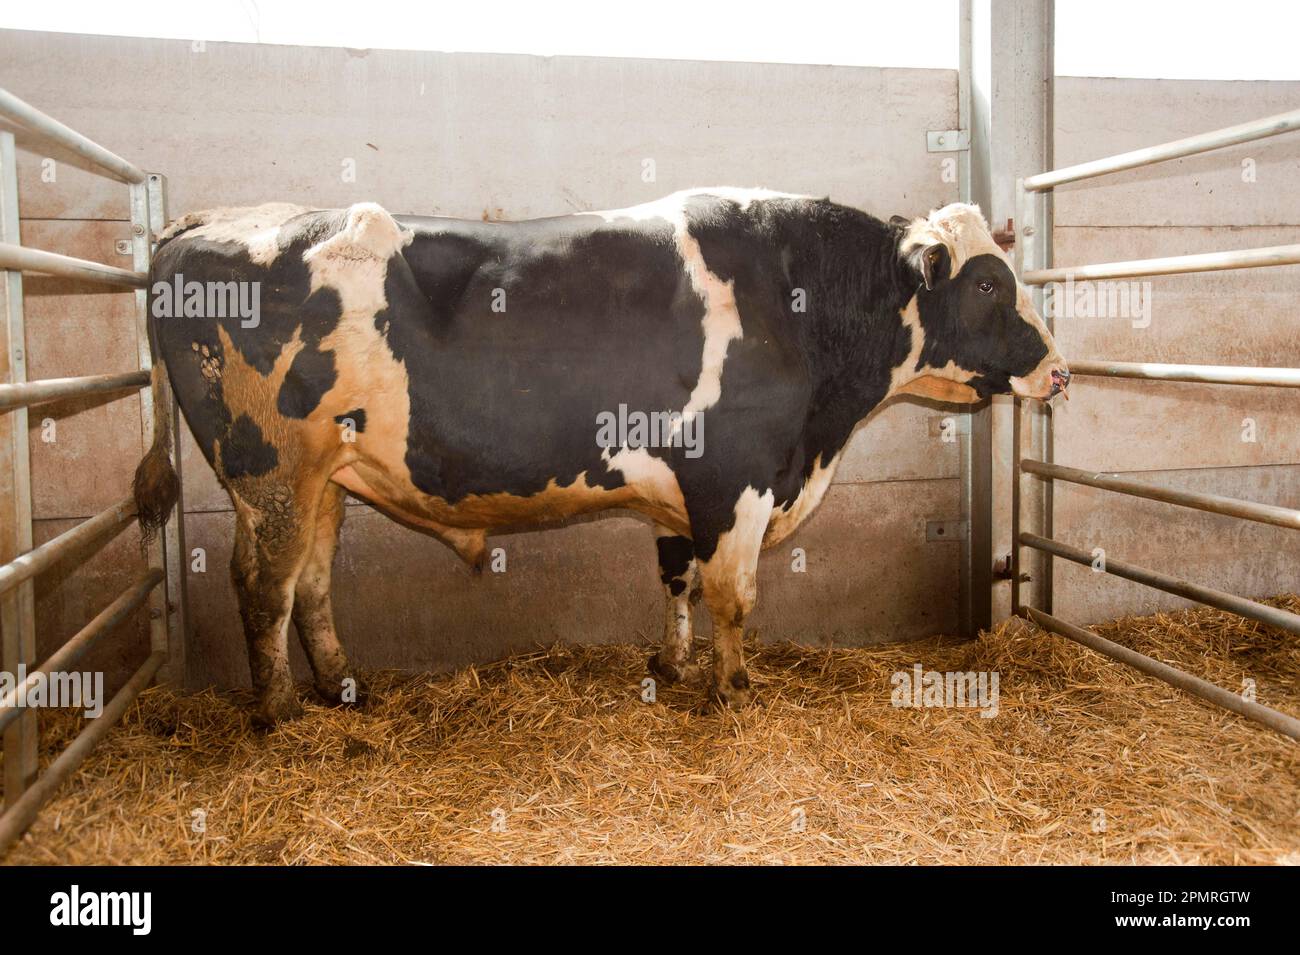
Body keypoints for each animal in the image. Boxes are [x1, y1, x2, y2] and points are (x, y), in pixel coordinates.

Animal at [133, 188, 1068, 726]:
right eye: (989, 283)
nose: (1059, 369)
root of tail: (209, 220)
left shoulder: (682, 492)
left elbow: (677, 578)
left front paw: (671, 665)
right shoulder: (737, 477)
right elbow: (735, 596)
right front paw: (733, 691)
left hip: (322, 477)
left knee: (312, 582)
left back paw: (338, 685)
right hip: (269, 471)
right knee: (262, 584)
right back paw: (278, 712)